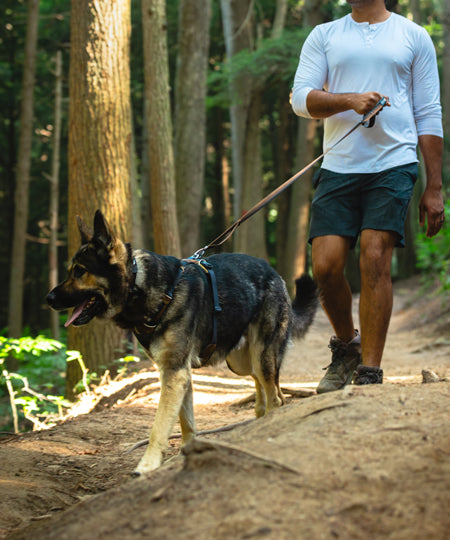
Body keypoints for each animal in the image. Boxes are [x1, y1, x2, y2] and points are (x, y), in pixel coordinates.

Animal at [47, 209, 318, 474]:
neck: (140, 286)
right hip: (242, 362)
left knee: (276, 397)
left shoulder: (174, 373)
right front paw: (184, 454)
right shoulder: (178, 375)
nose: (48, 298)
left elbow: (159, 426)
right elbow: (185, 422)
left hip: (261, 356)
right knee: (266, 389)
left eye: (80, 271)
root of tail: (275, 274)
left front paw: (147, 465)